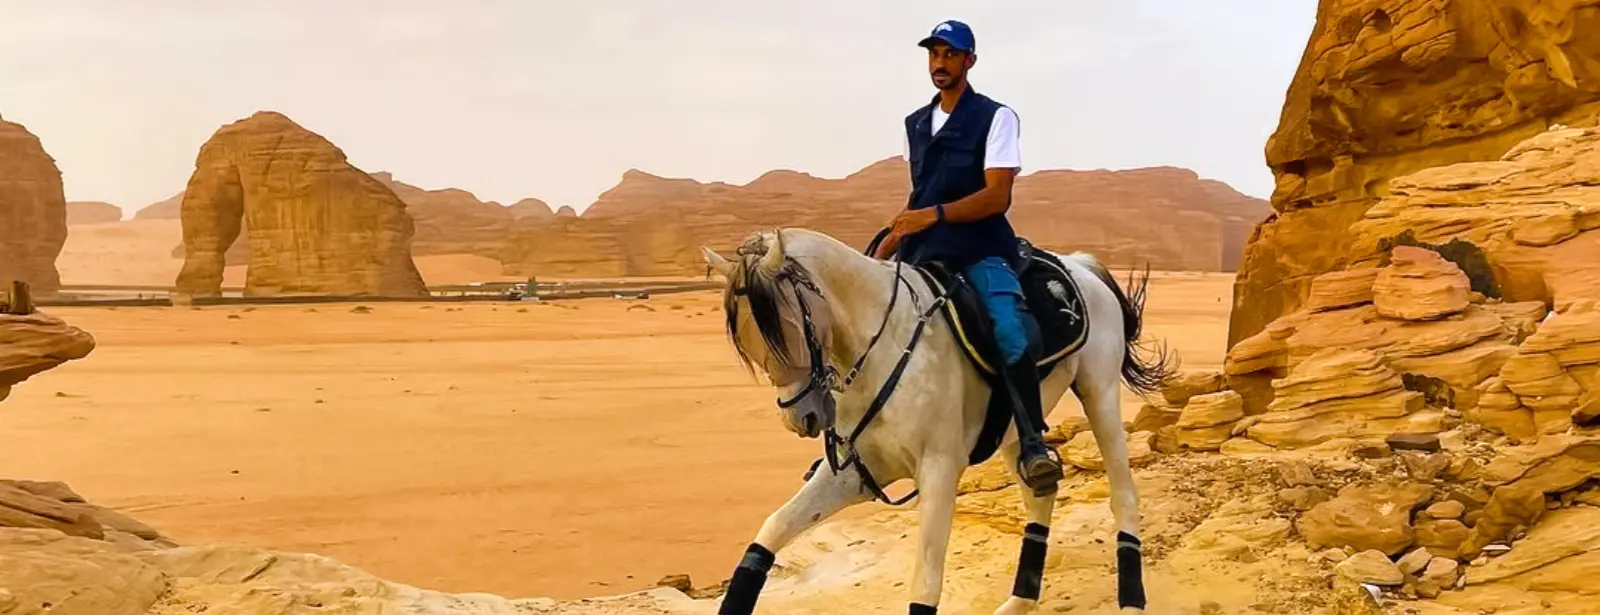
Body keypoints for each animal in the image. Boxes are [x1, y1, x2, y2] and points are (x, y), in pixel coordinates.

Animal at [700, 227, 1174, 615]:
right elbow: (772, 530)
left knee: (1123, 494)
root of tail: (1080, 264)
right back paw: (1019, 602)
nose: (802, 418)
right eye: (748, 341)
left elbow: (925, 584)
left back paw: (1132, 600)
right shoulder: (856, 474)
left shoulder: (939, 469)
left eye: (788, 326)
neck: (882, 348)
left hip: (1099, 394)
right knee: (1041, 496)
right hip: (1015, 431)